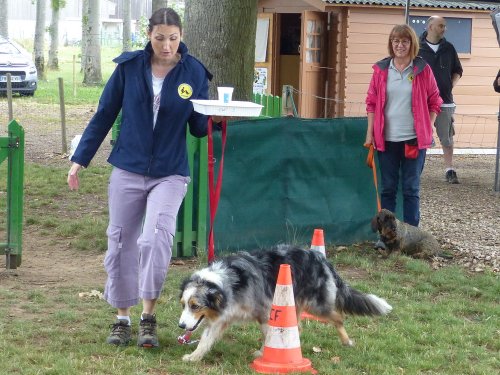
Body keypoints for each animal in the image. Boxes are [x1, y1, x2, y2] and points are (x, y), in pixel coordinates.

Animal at [178, 245, 392, 362]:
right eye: (183, 304)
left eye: (195, 306)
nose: (180, 325)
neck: (227, 283)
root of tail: (321, 258)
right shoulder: (221, 318)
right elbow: (205, 340)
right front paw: (194, 357)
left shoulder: (266, 312)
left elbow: (269, 334)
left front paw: (266, 355)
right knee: (298, 326)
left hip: (317, 305)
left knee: (339, 318)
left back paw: (346, 341)